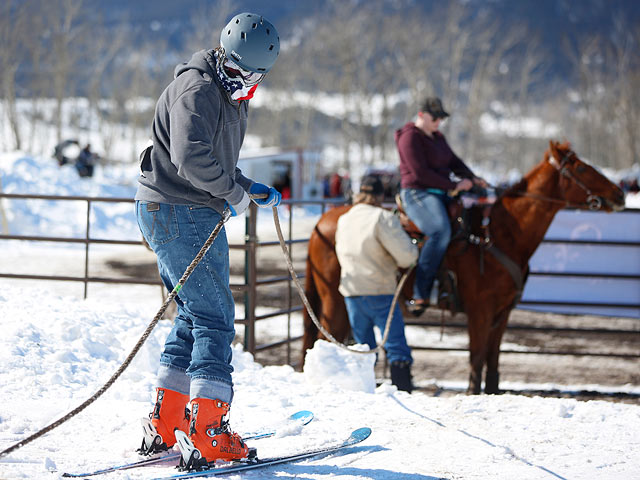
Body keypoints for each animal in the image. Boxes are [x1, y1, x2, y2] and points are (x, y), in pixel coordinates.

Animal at [304, 140, 624, 394]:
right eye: (581, 169)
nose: (620, 194)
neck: (496, 236)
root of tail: (322, 222)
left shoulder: (502, 314)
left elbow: (493, 358)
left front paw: (492, 391)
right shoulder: (480, 312)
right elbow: (477, 357)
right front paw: (473, 391)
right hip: (334, 300)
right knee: (324, 337)